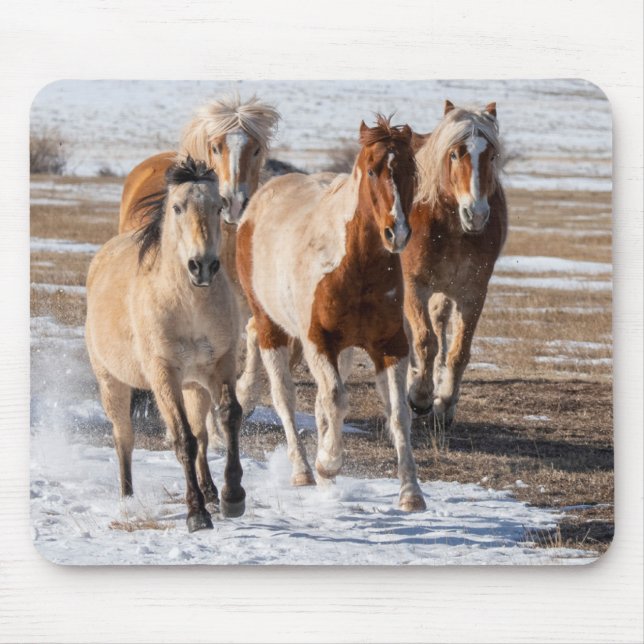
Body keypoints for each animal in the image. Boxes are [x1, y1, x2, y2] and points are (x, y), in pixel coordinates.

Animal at [85, 157, 245, 532]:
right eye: (177, 207)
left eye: (218, 207)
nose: (203, 266)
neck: (189, 306)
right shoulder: (163, 375)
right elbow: (182, 439)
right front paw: (196, 514)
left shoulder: (221, 364)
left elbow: (229, 417)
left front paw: (232, 497)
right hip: (112, 383)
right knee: (124, 438)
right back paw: (128, 498)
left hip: (194, 386)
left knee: (202, 434)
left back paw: (211, 491)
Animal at [236, 115, 426, 512]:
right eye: (372, 170)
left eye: (410, 170)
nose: (397, 232)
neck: (356, 266)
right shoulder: (318, 342)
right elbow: (336, 399)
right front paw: (328, 463)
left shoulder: (390, 346)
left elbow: (397, 414)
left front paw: (411, 493)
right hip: (272, 328)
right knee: (284, 394)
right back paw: (303, 470)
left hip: (344, 349)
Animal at [402, 100, 507, 427]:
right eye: (454, 153)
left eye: (492, 155)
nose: (476, 214)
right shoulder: (414, 286)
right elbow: (425, 341)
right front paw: (420, 397)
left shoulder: (472, 292)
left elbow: (458, 350)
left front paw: (444, 402)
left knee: (440, 326)